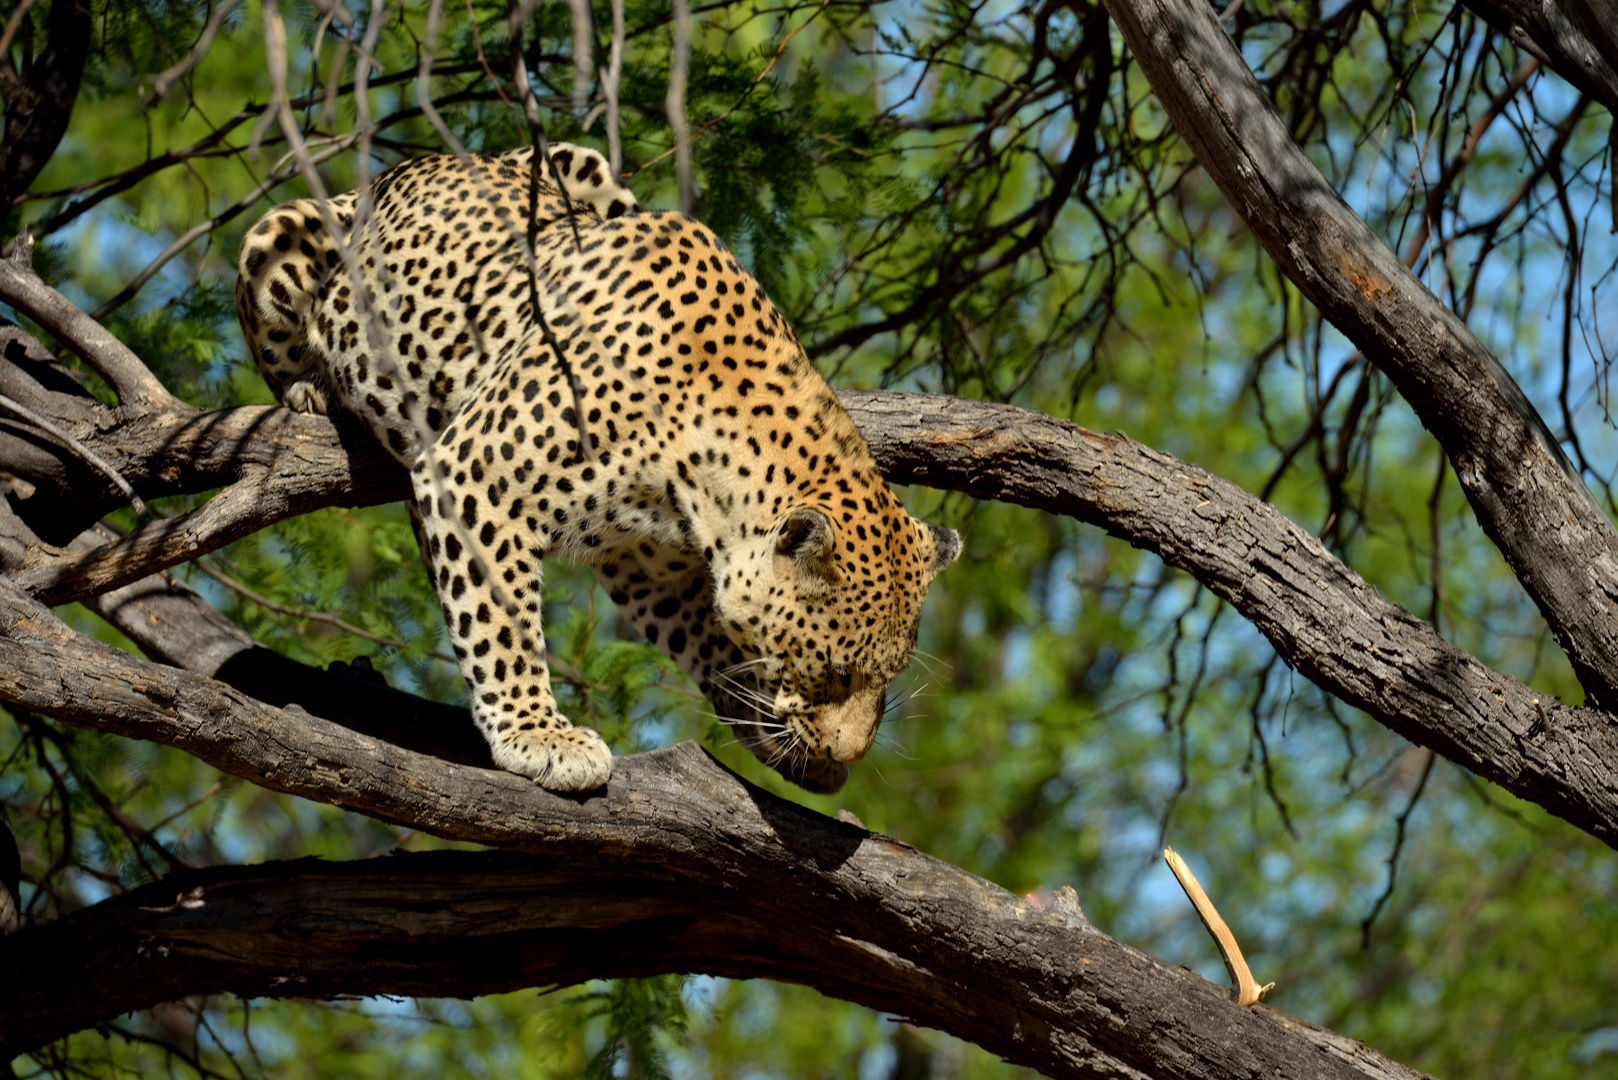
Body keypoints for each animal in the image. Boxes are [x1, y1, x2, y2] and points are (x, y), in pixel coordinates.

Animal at [234, 143, 951, 793]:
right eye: (836, 673)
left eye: (887, 679)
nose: (850, 751)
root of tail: (415, 164)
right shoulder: (477, 474)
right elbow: (501, 621)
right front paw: (540, 735)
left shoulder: (653, 565)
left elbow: (713, 641)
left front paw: (774, 731)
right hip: (282, 231)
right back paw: (311, 390)